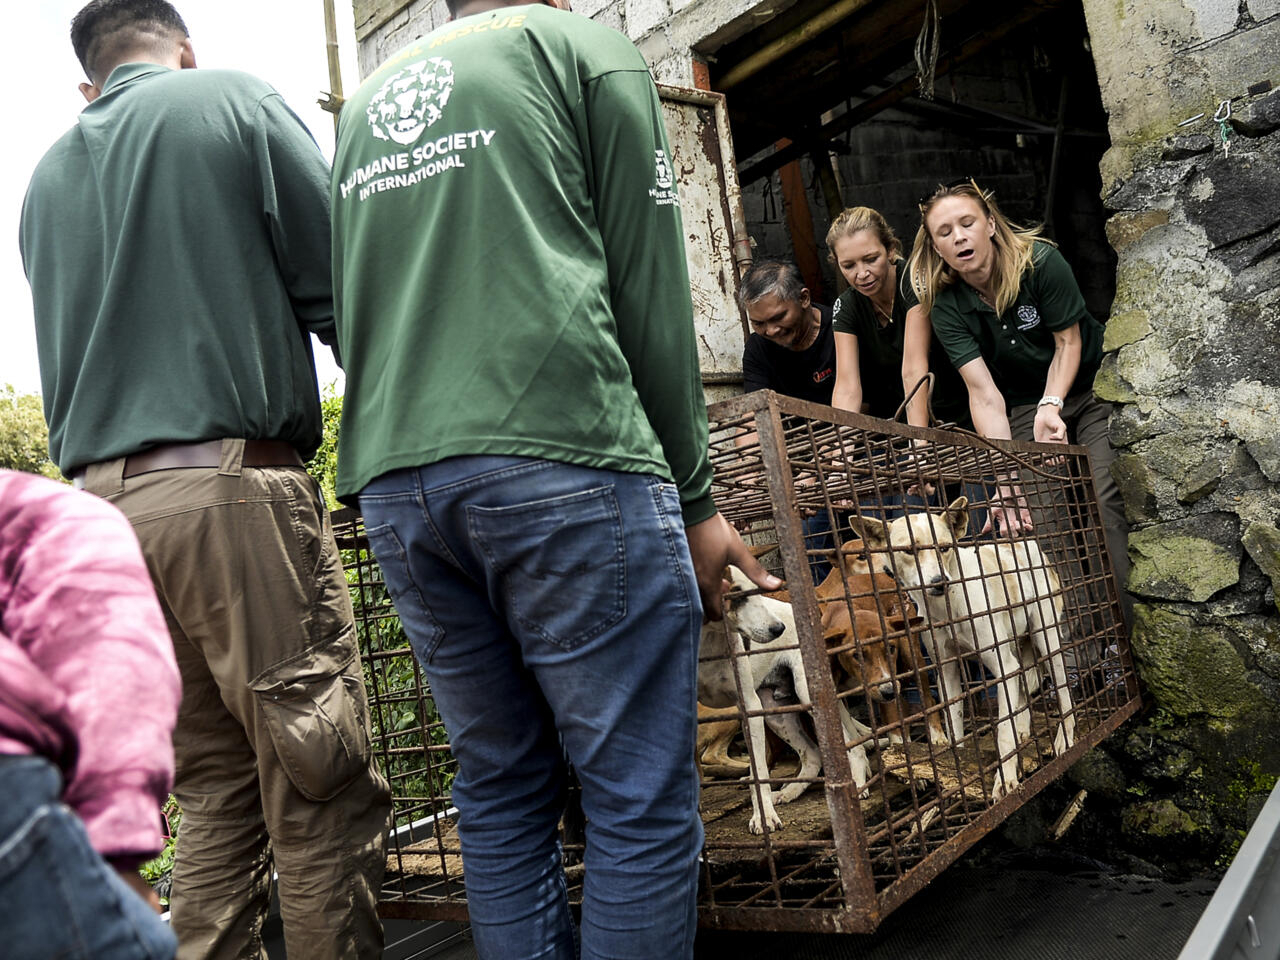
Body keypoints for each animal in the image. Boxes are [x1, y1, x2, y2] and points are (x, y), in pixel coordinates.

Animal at [696, 568, 875, 839]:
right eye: (737, 594)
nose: (778, 628)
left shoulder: (749, 708)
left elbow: (758, 772)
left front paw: (764, 818)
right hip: (775, 711)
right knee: (812, 755)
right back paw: (788, 792)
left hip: (807, 695)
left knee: (852, 748)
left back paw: (857, 785)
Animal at [855, 499, 1075, 798]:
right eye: (908, 551)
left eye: (944, 547)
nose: (939, 581)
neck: (948, 605)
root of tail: (1029, 545)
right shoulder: (947, 672)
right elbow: (955, 725)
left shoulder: (1001, 665)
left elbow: (1002, 731)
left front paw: (1005, 781)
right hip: (1016, 646)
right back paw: (1023, 729)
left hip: (1046, 637)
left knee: (1063, 691)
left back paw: (1065, 739)